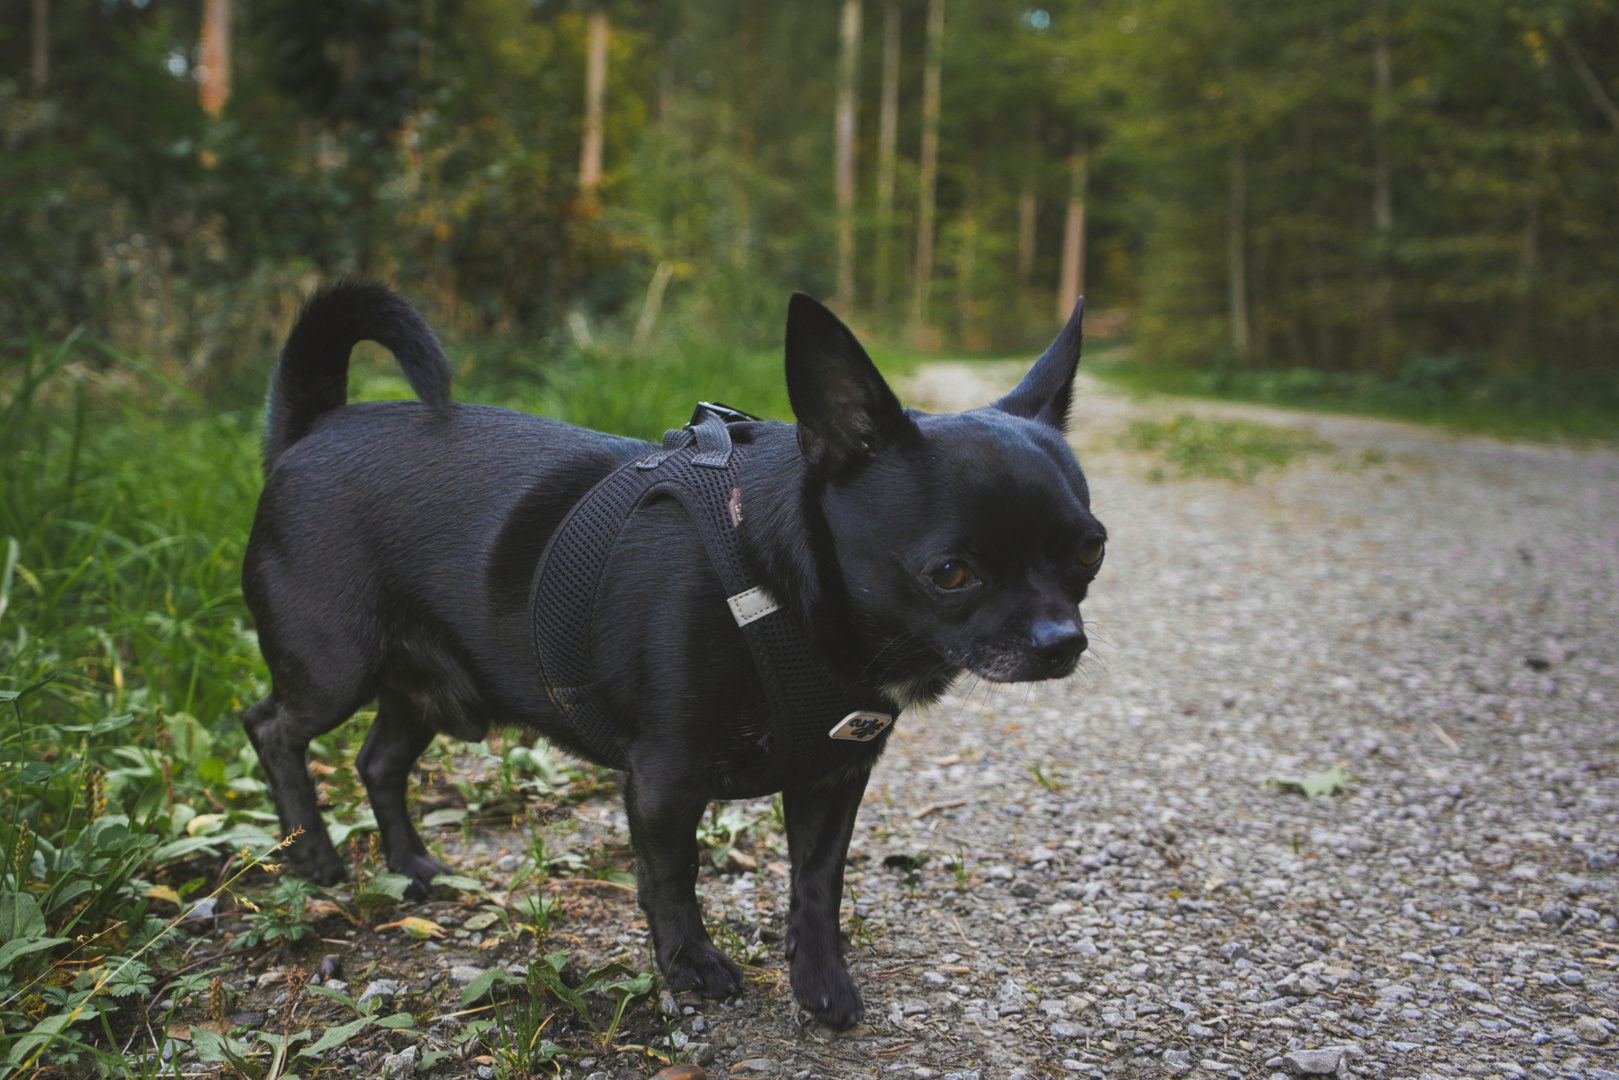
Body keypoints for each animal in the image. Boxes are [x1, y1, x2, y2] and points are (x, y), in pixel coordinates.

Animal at [236, 283, 1100, 1029]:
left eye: (1090, 551)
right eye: (951, 573)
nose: (1063, 641)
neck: (776, 583)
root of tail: (313, 428)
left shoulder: (833, 774)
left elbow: (817, 883)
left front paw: (820, 980)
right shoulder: (663, 778)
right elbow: (670, 876)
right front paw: (689, 965)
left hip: (429, 692)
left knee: (378, 760)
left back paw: (415, 865)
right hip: (331, 670)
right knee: (271, 728)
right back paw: (312, 854)